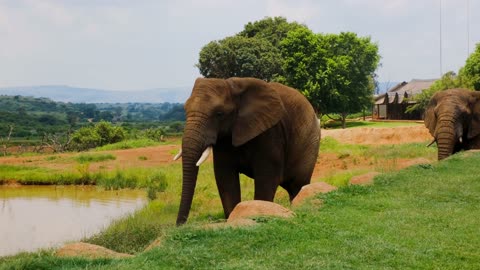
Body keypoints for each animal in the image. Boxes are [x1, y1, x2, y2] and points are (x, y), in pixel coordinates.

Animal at [174, 77, 320, 225]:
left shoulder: (270, 132)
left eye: (219, 114)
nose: (180, 225)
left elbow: (266, 177)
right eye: (185, 109)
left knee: (298, 184)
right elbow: (225, 178)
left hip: (310, 141)